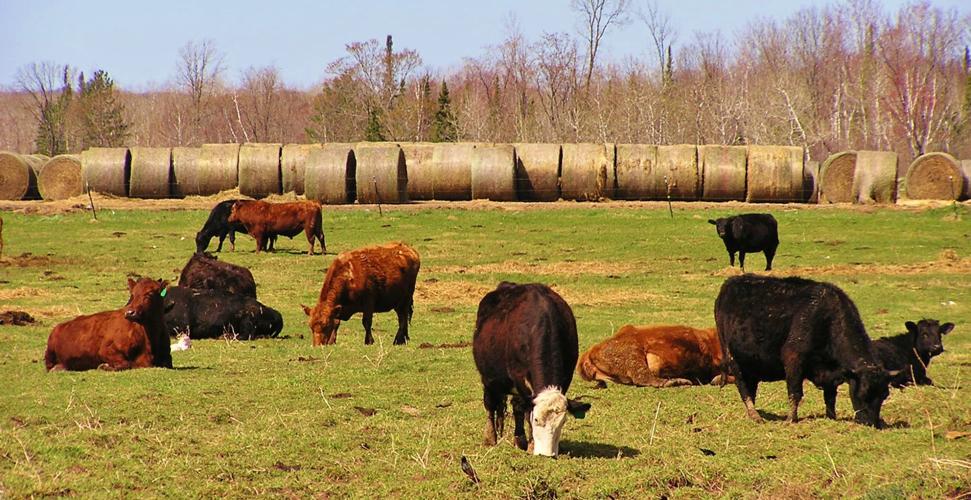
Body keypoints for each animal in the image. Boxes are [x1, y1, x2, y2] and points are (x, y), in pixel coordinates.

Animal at [472, 282, 591, 457]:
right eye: (536, 420)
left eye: (563, 422)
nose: (547, 454)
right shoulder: (520, 379)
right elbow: (526, 411)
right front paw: (531, 443)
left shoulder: (566, 376)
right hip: (487, 378)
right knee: (490, 404)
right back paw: (491, 438)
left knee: (515, 406)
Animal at [715, 274, 894, 428]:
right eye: (863, 393)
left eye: (884, 395)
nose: (872, 423)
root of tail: (731, 282)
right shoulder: (793, 359)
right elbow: (795, 393)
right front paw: (790, 419)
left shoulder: (831, 375)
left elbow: (830, 397)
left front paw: (831, 417)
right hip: (733, 358)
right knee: (743, 387)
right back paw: (755, 416)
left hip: (751, 364)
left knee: (751, 389)